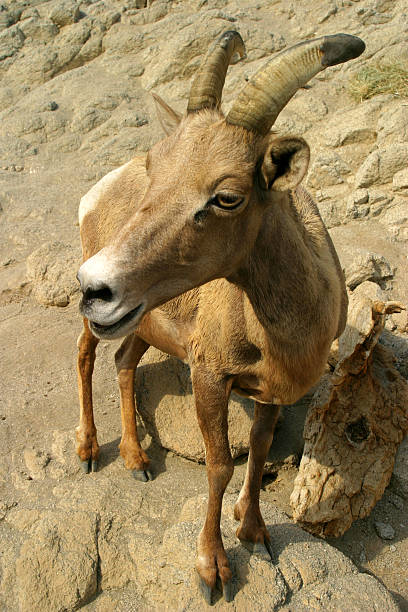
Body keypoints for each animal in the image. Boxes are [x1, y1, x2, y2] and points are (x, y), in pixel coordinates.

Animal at [75, 32, 364, 604]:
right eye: (154, 168)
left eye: (227, 196)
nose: (95, 287)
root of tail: (94, 196)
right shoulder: (209, 376)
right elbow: (220, 465)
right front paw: (214, 572)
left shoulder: (273, 392)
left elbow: (258, 449)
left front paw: (254, 531)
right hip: (105, 326)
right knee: (85, 356)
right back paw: (91, 451)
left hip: (141, 323)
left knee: (123, 362)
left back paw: (138, 463)